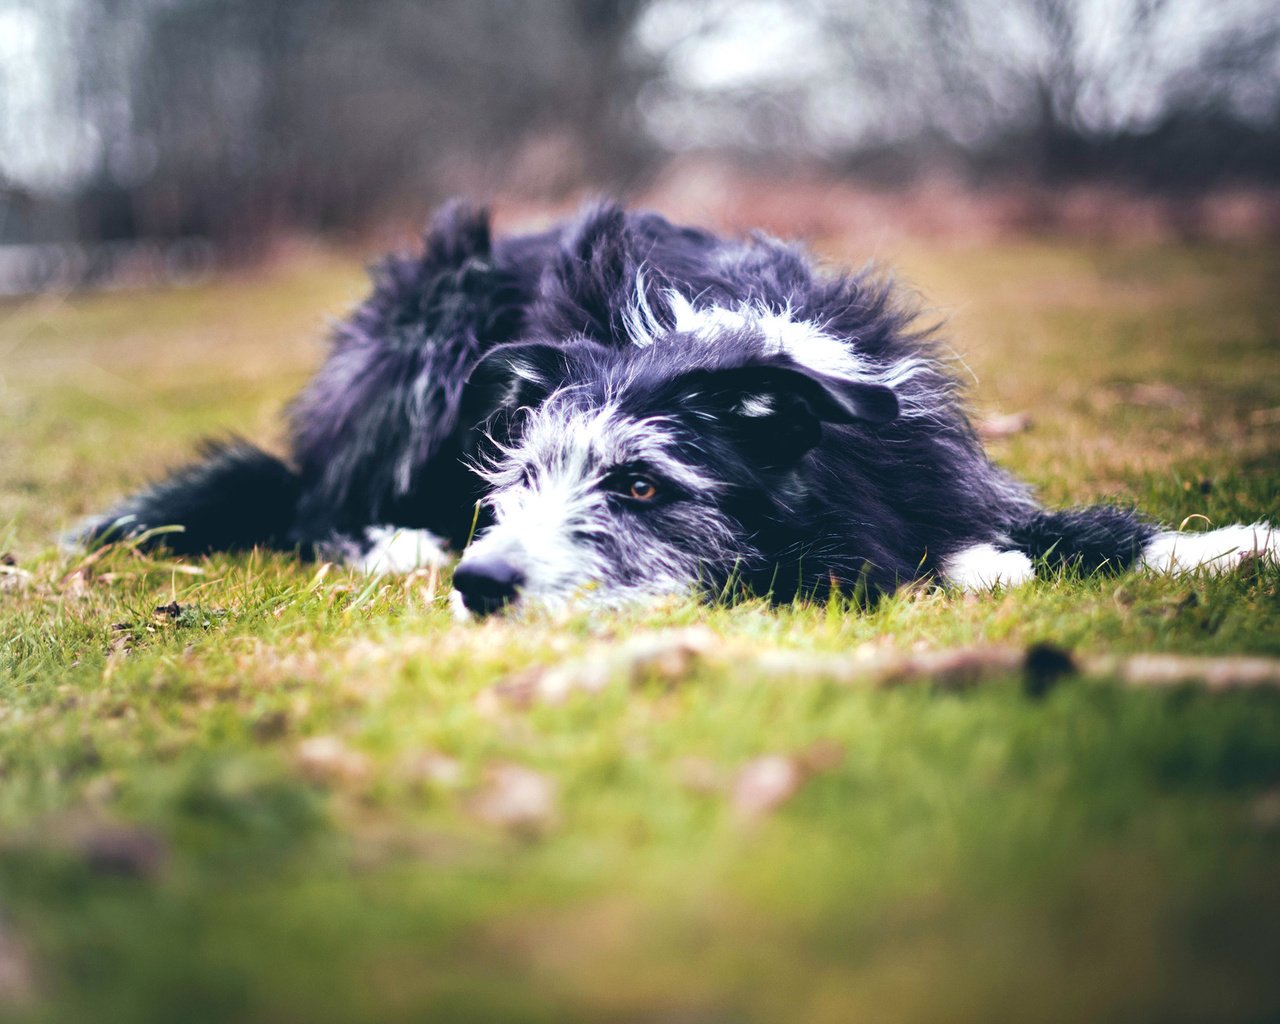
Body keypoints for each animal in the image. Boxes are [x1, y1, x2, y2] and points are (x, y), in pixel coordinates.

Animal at [72, 200, 1280, 616]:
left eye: (642, 486)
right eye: (521, 482)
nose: (483, 581)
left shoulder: (926, 459)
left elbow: (1079, 526)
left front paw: (1226, 541)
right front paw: (975, 565)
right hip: (427, 319)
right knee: (315, 505)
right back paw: (397, 540)